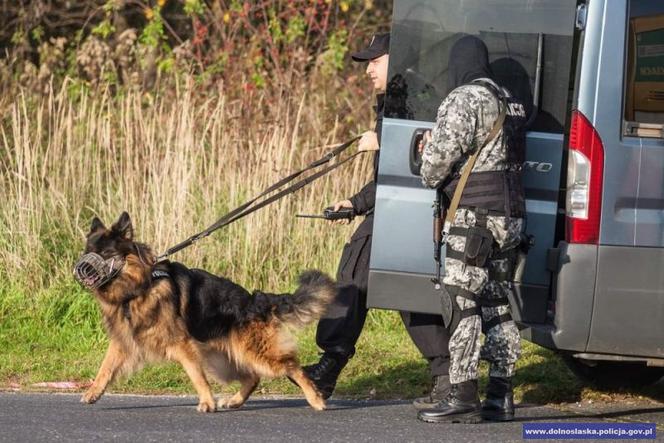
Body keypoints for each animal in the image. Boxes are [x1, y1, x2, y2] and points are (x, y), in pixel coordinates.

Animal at [80, 212, 334, 412]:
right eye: (88, 251)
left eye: (105, 253)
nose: (82, 269)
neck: (139, 287)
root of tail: (256, 300)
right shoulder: (123, 341)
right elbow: (105, 367)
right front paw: (93, 392)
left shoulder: (182, 344)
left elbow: (196, 375)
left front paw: (207, 403)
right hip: (223, 359)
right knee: (252, 377)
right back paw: (235, 401)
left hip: (255, 353)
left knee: (292, 367)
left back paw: (316, 399)